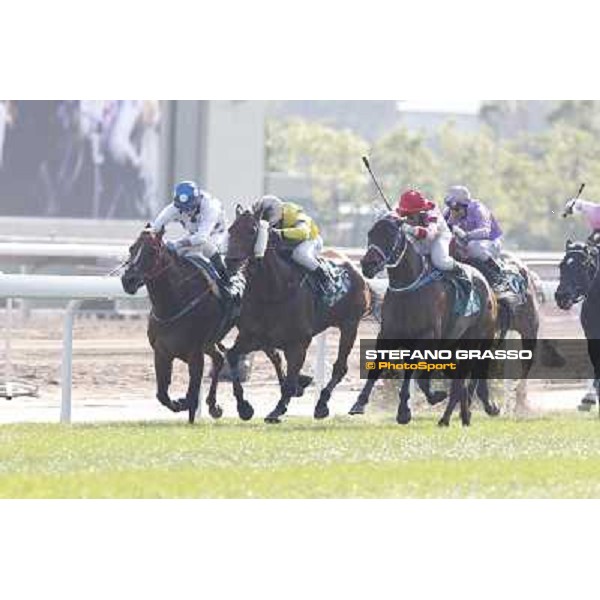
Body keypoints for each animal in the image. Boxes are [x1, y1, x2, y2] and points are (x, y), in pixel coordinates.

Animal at [120, 227, 254, 424]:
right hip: (211, 342)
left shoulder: (195, 354)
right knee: (221, 357)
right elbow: (162, 395)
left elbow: (192, 393)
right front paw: (179, 403)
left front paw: (185, 405)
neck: (173, 304)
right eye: (132, 248)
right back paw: (214, 405)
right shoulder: (161, 352)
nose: (128, 280)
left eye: (152, 251)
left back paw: (244, 406)